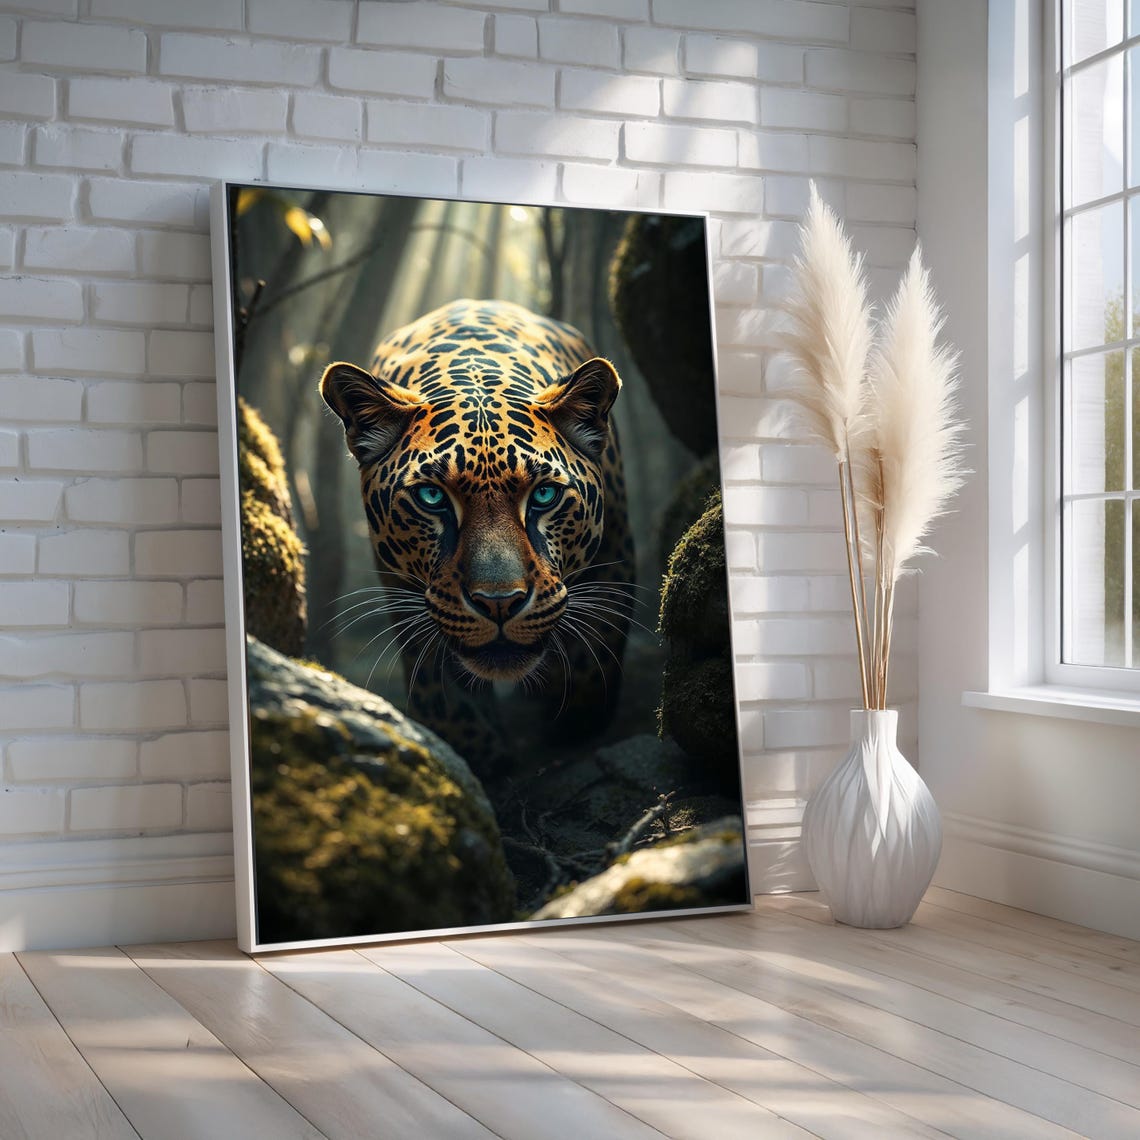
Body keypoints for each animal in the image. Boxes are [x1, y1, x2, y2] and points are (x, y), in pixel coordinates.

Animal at [320, 298, 635, 780]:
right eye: (432, 497)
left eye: (544, 495)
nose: (499, 603)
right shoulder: (407, 595)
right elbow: (444, 696)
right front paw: (484, 759)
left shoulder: (614, 555)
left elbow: (595, 648)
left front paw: (571, 717)